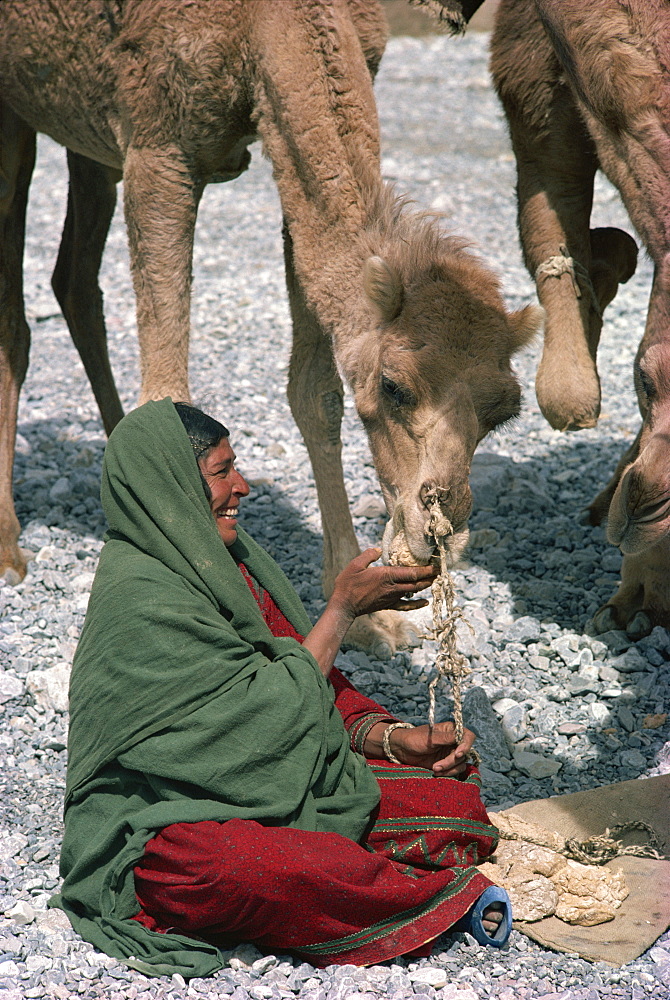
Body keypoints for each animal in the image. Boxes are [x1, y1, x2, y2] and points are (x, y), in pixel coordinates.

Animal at [0, 0, 540, 652]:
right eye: (394, 387)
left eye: (503, 412)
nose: (438, 533)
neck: (263, 24)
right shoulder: (159, 146)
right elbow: (167, 389)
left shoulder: (282, 140)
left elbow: (317, 391)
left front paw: (373, 621)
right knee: (16, 318)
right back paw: (9, 550)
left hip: (86, 143)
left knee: (74, 281)